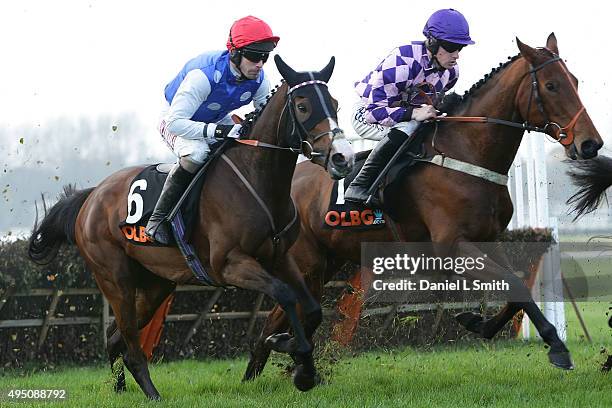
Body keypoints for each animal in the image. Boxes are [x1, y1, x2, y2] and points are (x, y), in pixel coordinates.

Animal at [27, 54, 354, 398]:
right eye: (302, 106)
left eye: (334, 103)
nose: (342, 157)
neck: (257, 181)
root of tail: (91, 197)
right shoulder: (229, 265)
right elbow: (286, 295)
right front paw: (288, 349)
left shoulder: (281, 257)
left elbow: (312, 308)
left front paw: (303, 368)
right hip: (115, 280)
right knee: (130, 344)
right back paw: (153, 394)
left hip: (156, 284)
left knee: (115, 338)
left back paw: (121, 389)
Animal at [244, 33, 604, 380]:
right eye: (551, 85)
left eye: (574, 81)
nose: (590, 144)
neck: (467, 154)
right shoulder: (452, 246)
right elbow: (513, 284)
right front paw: (557, 346)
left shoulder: (490, 239)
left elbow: (513, 286)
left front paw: (478, 323)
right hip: (307, 262)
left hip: (325, 262)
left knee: (278, 318)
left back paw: (270, 365)